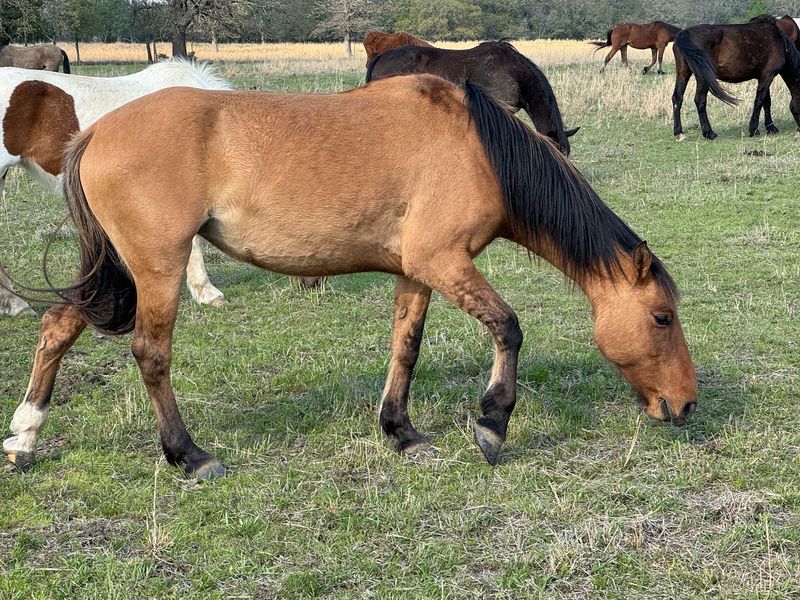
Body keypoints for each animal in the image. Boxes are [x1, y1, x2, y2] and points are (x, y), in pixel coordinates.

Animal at [672, 16, 800, 141]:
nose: (799, 129)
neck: (780, 41)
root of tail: (684, 34)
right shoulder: (768, 76)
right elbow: (760, 101)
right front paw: (754, 129)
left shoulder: (763, 76)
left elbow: (766, 102)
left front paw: (771, 128)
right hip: (703, 78)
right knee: (700, 100)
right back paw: (709, 133)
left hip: (683, 73)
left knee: (677, 98)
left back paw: (679, 133)